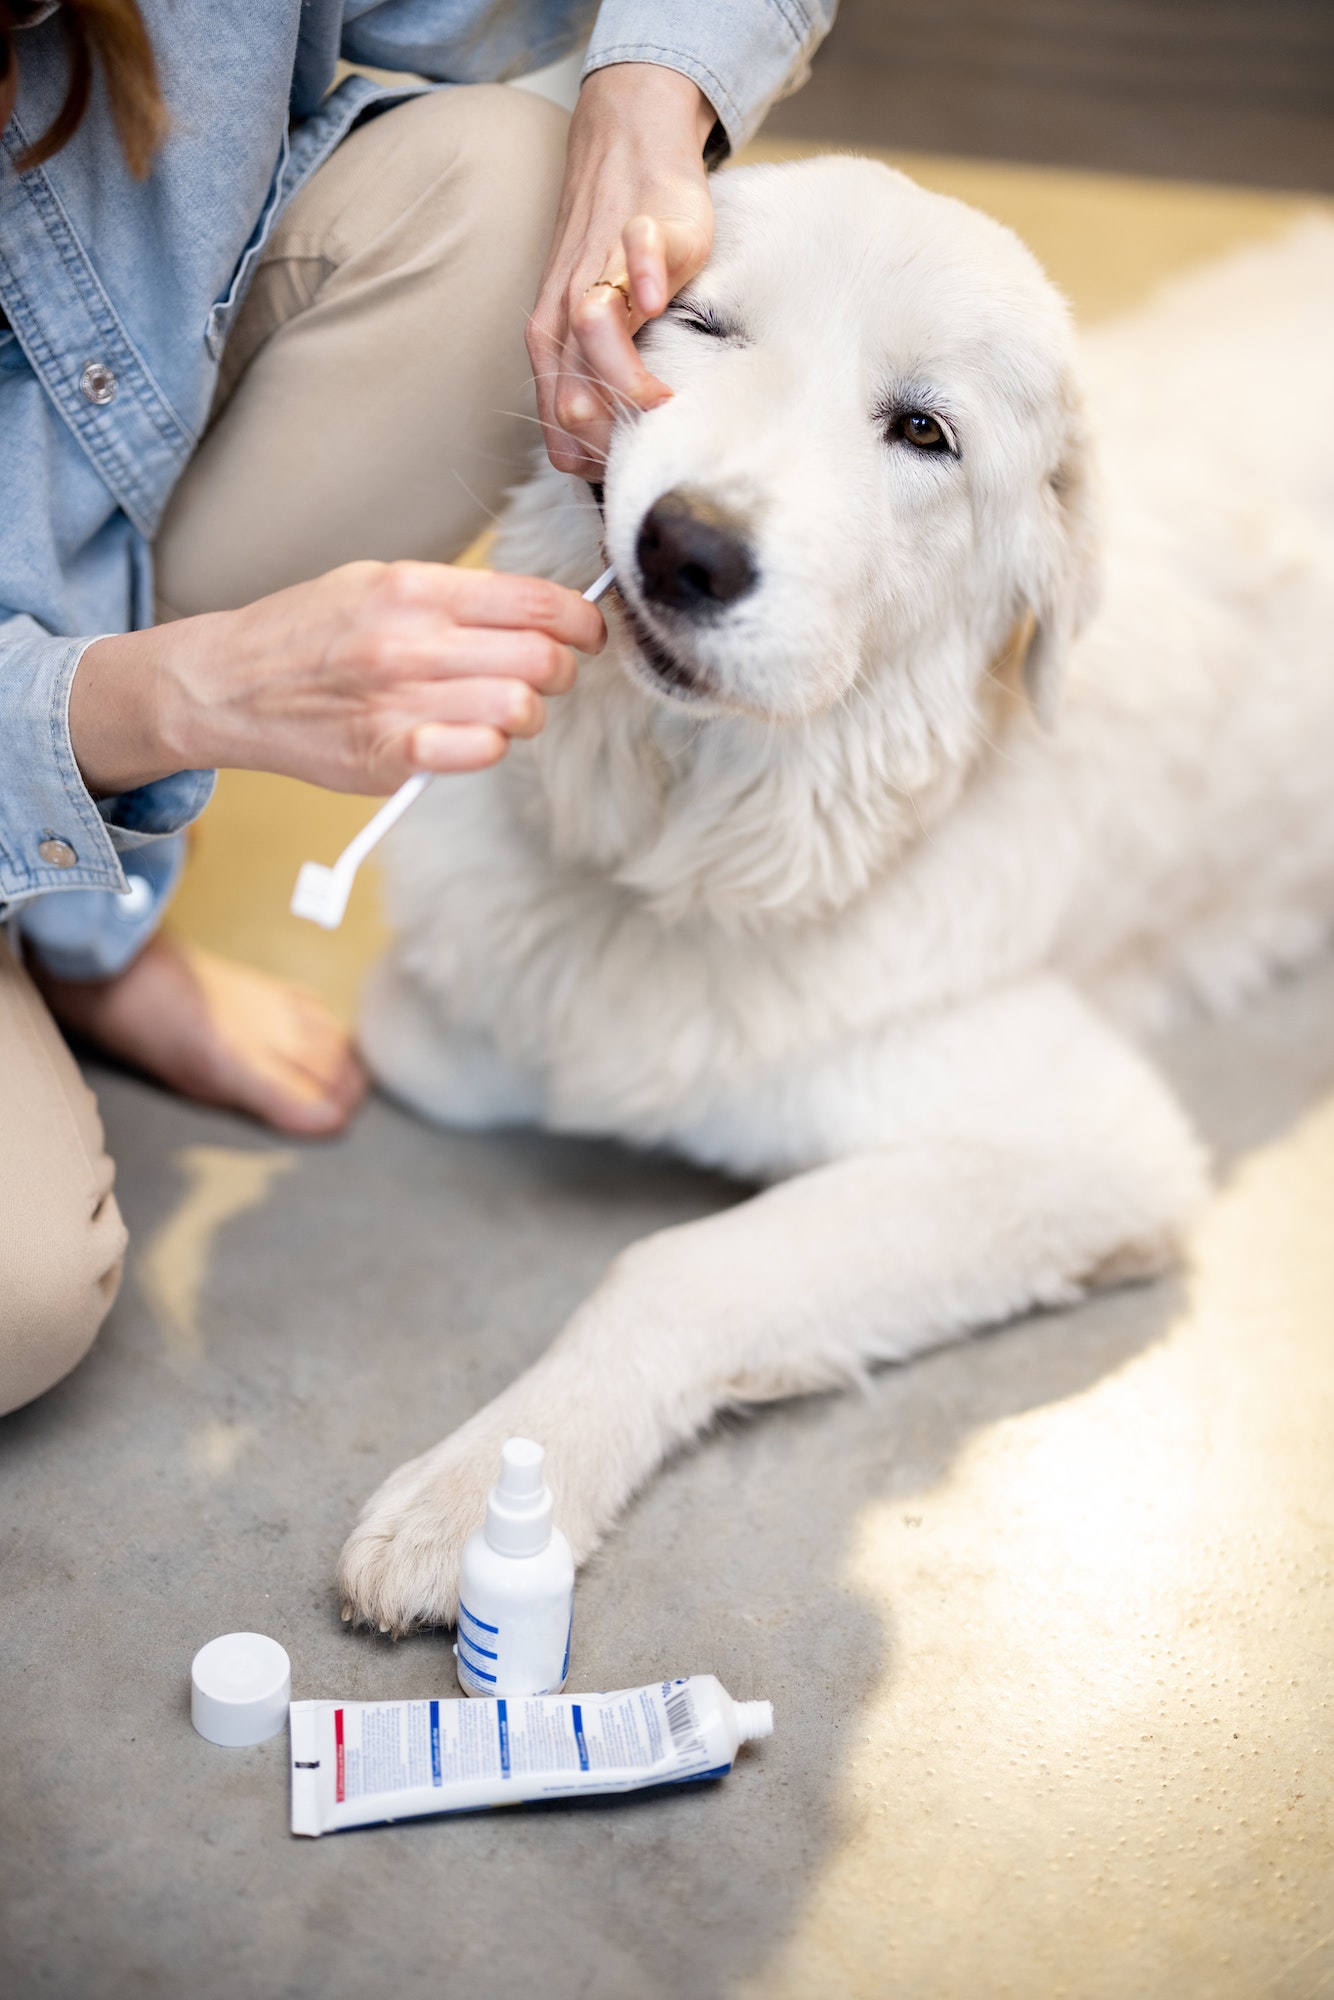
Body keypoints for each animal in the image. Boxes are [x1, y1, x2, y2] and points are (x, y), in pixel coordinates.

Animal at [340, 152, 1334, 1624]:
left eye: (922, 431)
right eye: (701, 324)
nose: (686, 549)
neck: (696, 845)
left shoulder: (1090, 1145)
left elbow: (677, 1265)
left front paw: (485, 1488)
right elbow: (429, 1040)